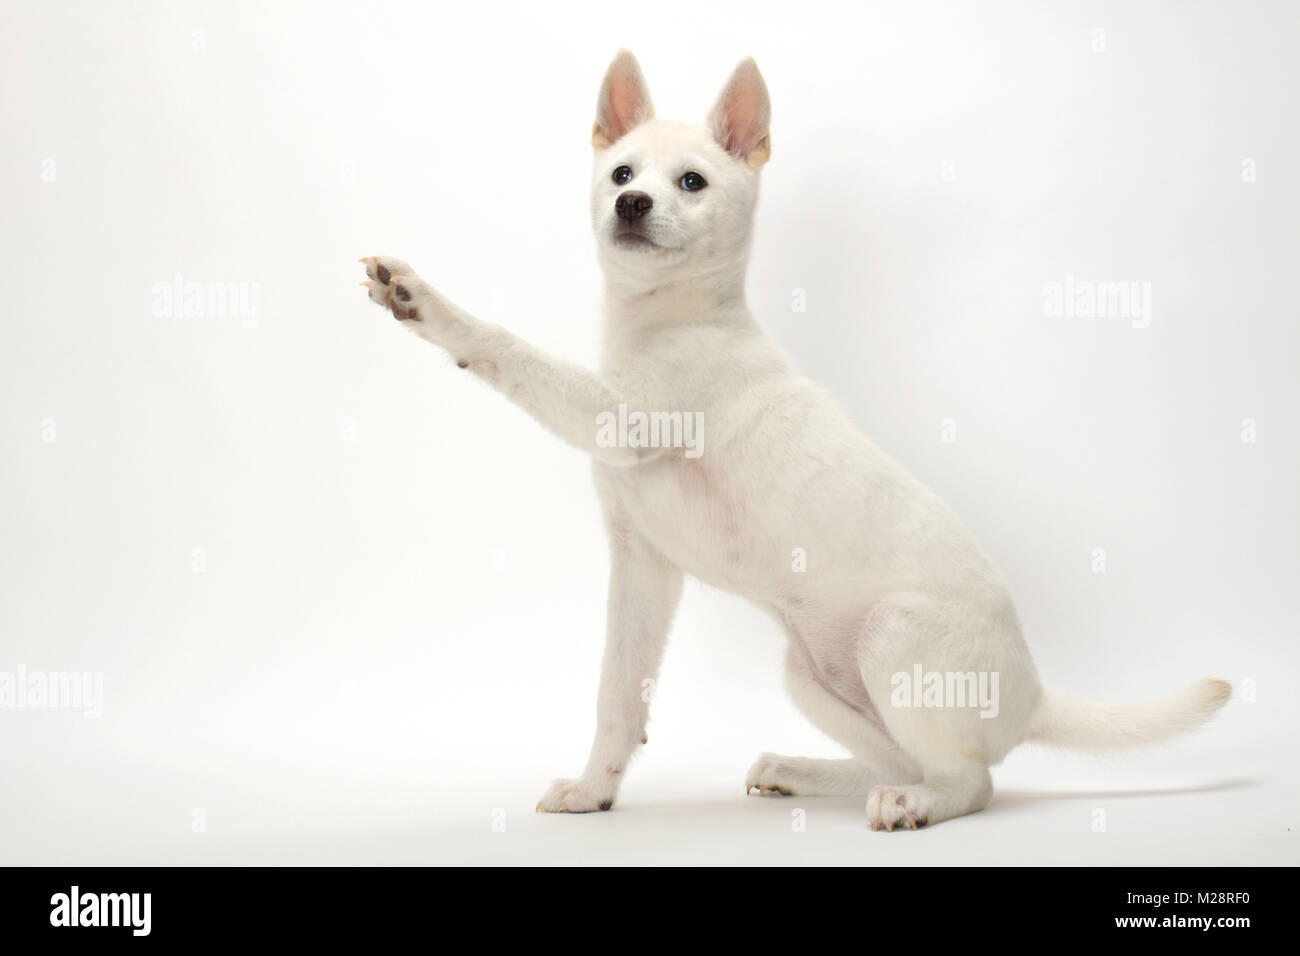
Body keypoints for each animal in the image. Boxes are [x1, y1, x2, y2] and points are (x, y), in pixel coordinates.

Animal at [358, 52, 1227, 832]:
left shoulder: (618, 419)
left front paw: (428, 304)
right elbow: (617, 691)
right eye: (622, 171)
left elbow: (512, 351)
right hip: (811, 680)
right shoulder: (643, 566)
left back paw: (910, 805)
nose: (632, 203)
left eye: (691, 183)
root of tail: (1036, 694)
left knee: (969, 782)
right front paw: (595, 789)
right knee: (909, 759)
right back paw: (802, 770)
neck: (669, 319)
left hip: (893, 636)